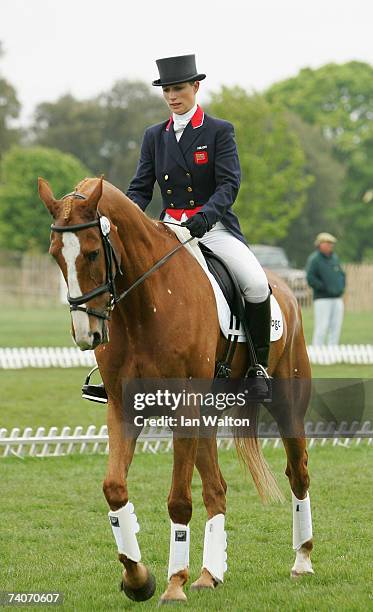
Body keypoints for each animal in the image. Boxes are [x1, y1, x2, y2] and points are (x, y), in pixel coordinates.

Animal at [39, 176, 312, 604]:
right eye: (55, 255)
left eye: (93, 252)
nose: (87, 335)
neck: (142, 306)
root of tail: (285, 288)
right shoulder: (123, 408)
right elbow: (115, 489)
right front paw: (138, 579)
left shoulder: (183, 408)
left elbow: (179, 501)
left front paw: (173, 585)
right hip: (207, 416)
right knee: (216, 489)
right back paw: (209, 575)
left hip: (287, 406)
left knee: (297, 473)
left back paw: (301, 562)